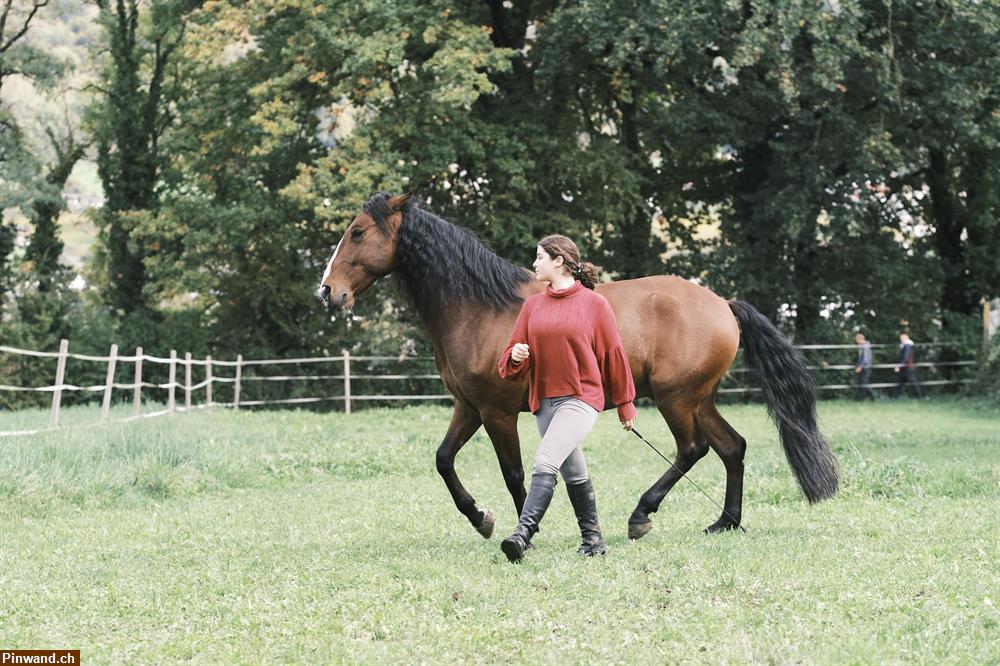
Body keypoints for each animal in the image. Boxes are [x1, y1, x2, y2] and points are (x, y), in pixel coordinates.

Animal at [320, 191, 836, 536]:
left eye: (358, 232)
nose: (327, 291)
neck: (481, 307)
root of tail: (723, 304)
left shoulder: (497, 413)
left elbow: (514, 473)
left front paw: (526, 529)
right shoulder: (469, 408)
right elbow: (444, 460)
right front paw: (481, 518)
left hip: (677, 400)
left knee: (694, 450)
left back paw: (642, 515)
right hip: (699, 399)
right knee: (733, 448)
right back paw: (724, 523)